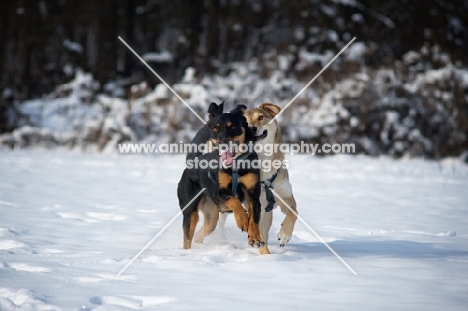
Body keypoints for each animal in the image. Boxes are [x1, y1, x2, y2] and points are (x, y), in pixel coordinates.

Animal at [176, 105, 266, 251]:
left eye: (232, 126)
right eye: (215, 129)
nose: (223, 142)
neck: (235, 165)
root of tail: (191, 163)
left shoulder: (253, 196)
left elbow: (254, 218)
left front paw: (255, 238)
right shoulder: (219, 194)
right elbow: (234, 200)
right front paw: (242, 220)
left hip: (212, 216)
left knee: (202, 232)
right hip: (190, 210)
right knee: (187, 237)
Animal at [218, 103, 298, 255]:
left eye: (260, 117)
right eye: (245, 121)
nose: (252, 128)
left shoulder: (284, 195)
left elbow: (294, 212)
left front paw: (284, 235)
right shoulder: (254, 204)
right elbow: (257, 231)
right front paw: (266, 257)